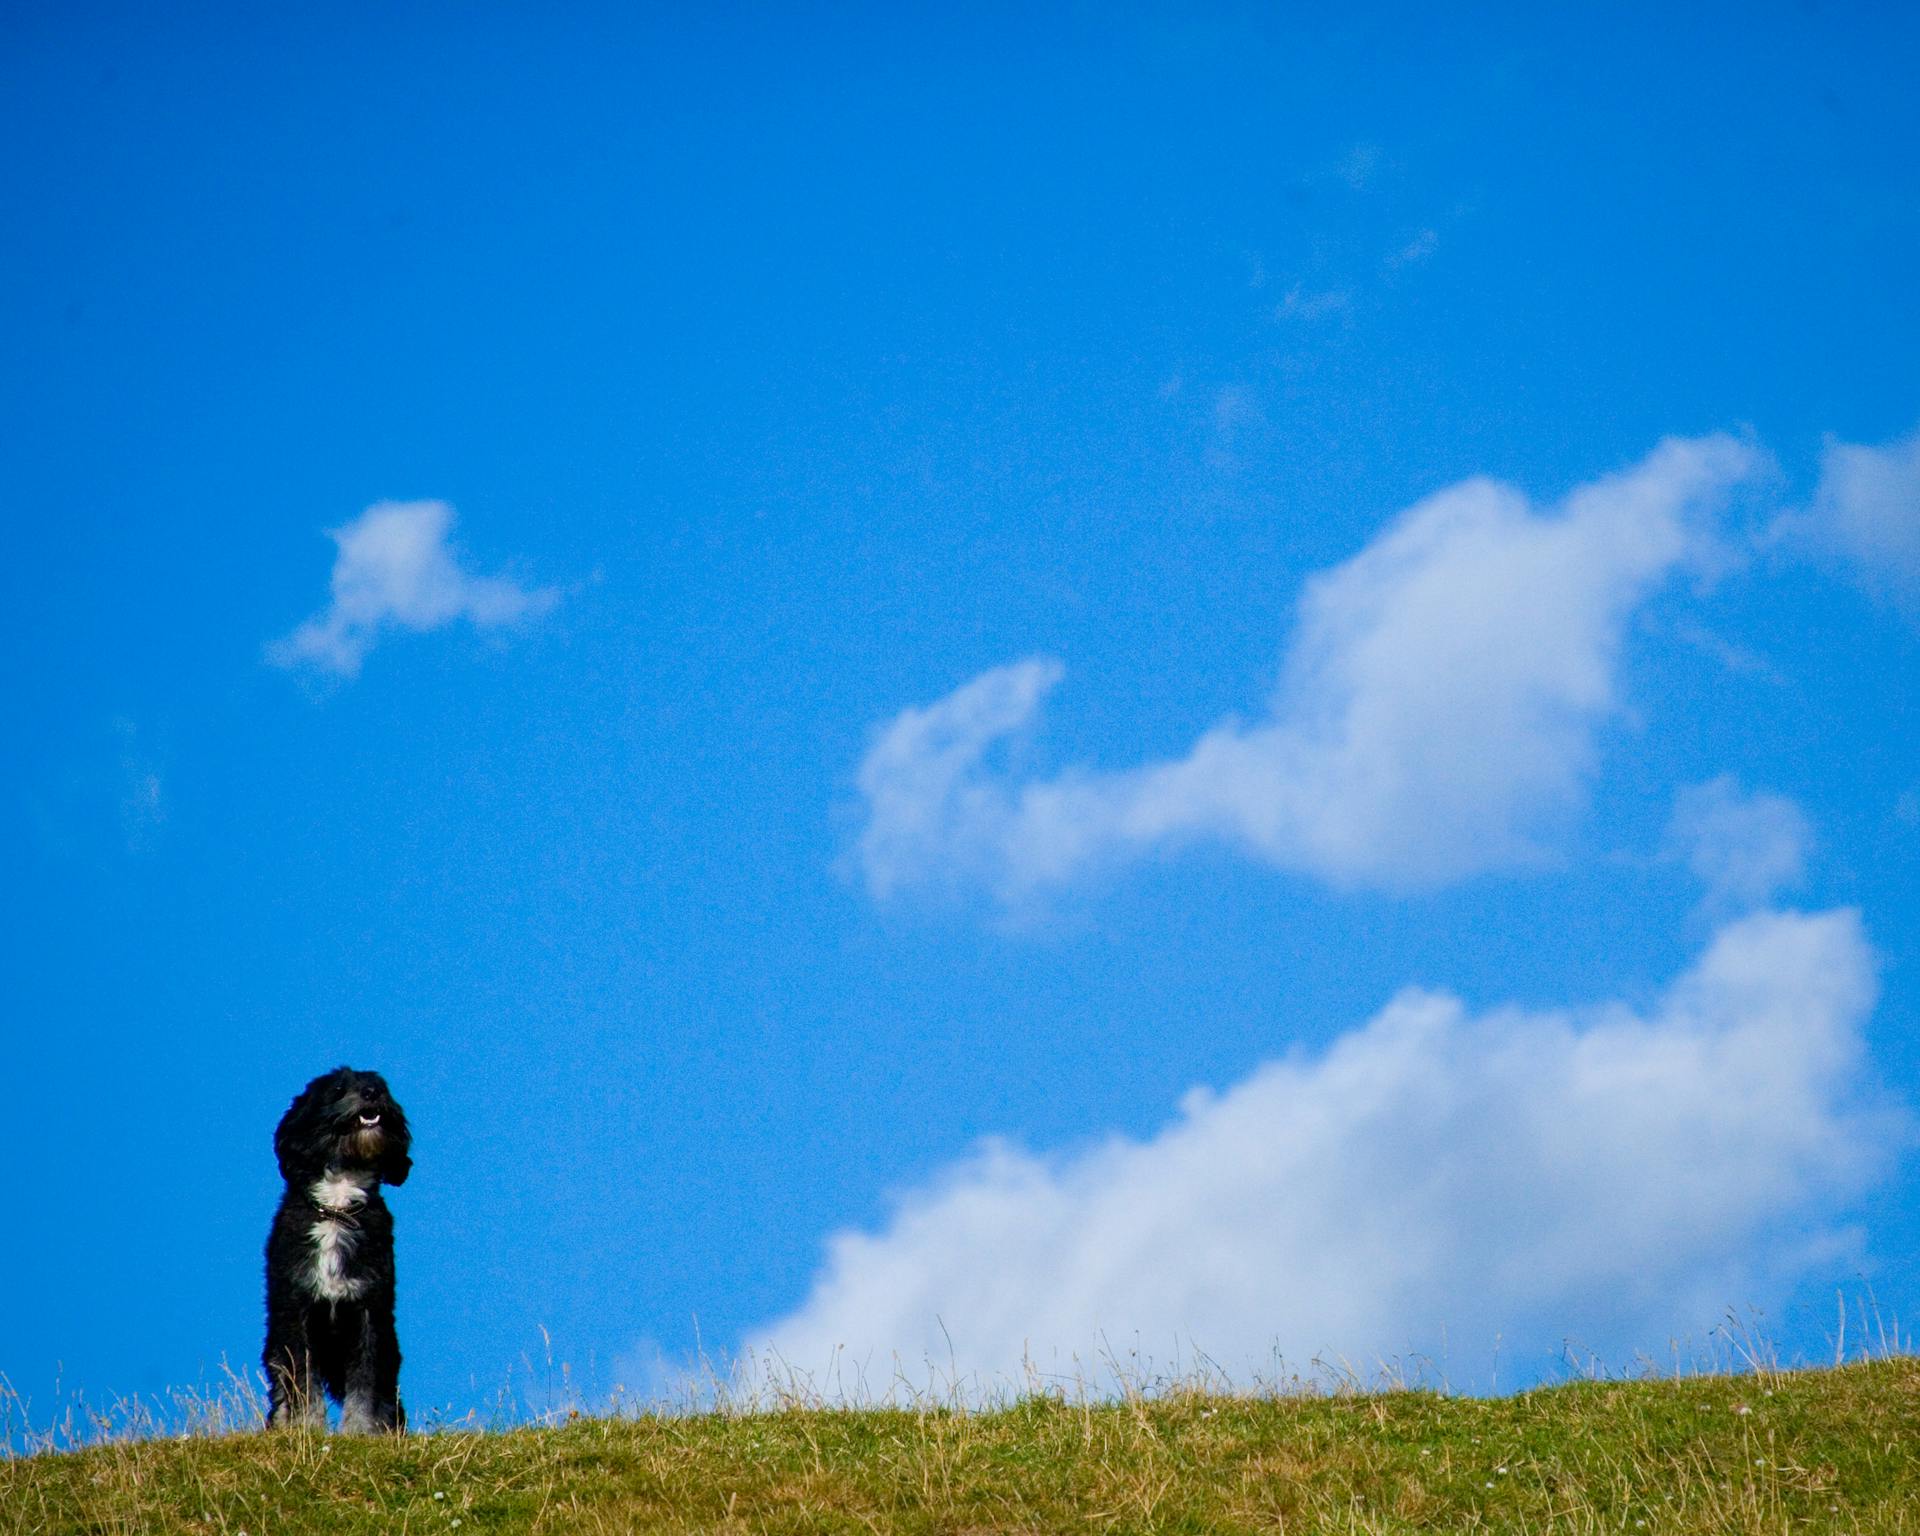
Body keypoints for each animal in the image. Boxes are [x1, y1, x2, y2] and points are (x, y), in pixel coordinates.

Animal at [263, 1059, 412, 1436]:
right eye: (339, 1090)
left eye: (381, 1088)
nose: (372, 1093)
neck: (337, 1206)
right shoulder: (296, 1314)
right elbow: (302, 1382)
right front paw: (306, 1428)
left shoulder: (368, 1314)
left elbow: (366, 1384)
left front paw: (361, 1432)